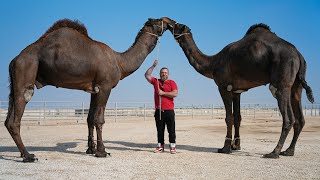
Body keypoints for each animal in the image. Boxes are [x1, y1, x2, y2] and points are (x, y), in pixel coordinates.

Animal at [5, 17, 170, 162]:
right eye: (157, 21)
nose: (169, 22)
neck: (119, 61)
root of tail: (14, 60)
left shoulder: (93, 89)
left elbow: (90, 118)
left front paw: (91, 149)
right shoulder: (105, 86)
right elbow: (99, 119)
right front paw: (102, 151)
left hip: (15, 82)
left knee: (9, 117)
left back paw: (23, 153)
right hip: (26, 69)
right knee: (18, 112)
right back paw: (28, 156)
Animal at [164, 17, 314, 159]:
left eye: (178, 25)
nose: (167, 21)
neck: (213, 63)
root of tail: (299, 56)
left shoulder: (224, 87)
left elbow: (228, 118)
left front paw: (225, 148)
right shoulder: (237, 91)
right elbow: (237, 117)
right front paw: (236, 145)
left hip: (281, 84)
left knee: (288, 117)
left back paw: (274, 152)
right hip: (296, 86)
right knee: (300, 118)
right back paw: (289, 151)